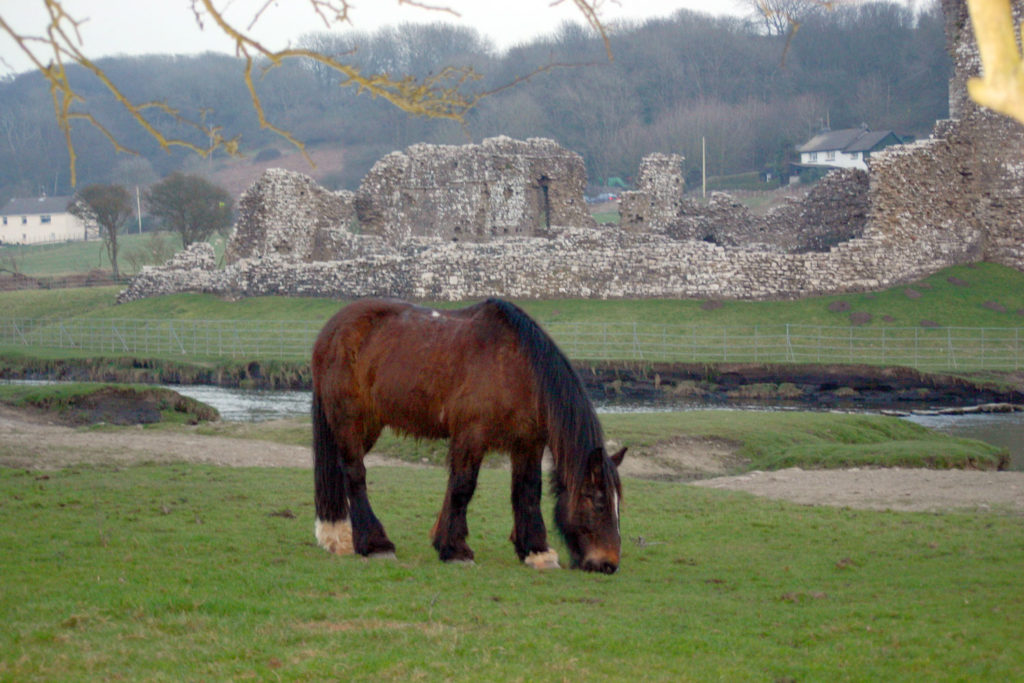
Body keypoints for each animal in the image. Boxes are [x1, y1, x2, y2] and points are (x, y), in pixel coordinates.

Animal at [311, 296, 622, 573]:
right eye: (597, 501)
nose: (608, 564)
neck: (515, 367)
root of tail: (331, 331)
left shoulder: (528, 443)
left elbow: (527, 491)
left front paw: (536, 551)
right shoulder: (472, 435)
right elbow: (463, 487)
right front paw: (455, 550)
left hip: (369, 425)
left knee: (340, 470)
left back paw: (336, 536)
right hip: (349, 420)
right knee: (355, 473)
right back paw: (373, 543)